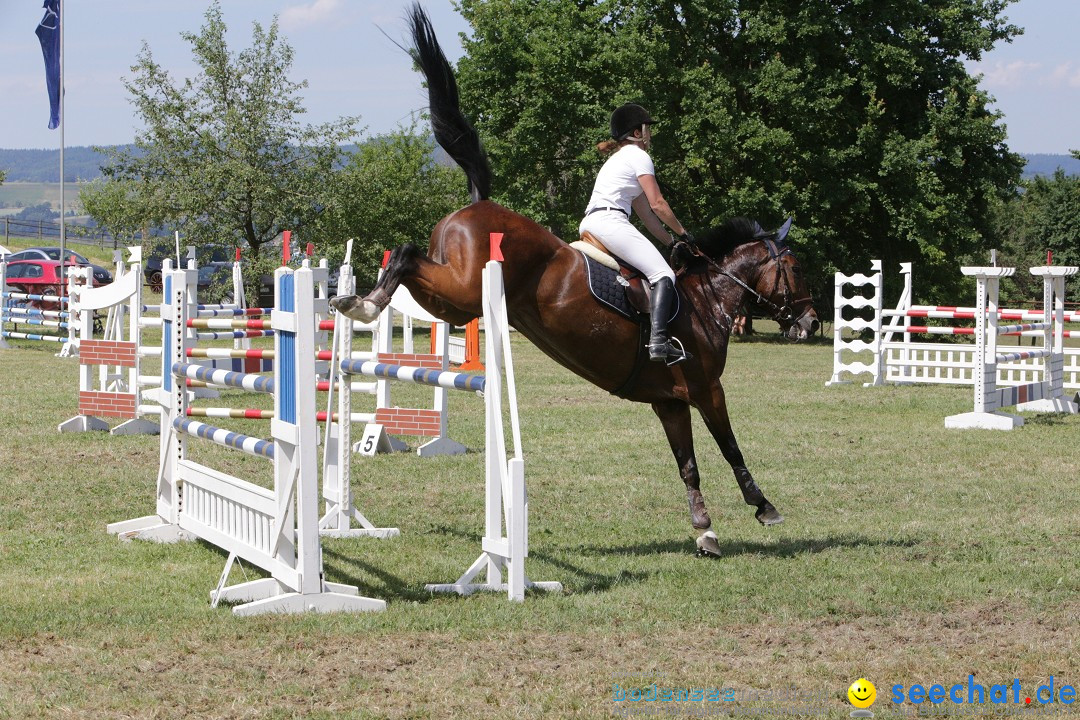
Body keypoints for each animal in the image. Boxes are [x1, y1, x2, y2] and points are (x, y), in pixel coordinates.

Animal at [328, 5, 816, 557]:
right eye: (797, 268)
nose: (810, 321)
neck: (706, 298)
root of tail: (478, 203)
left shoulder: (670, 402)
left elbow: (688, 465)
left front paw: (705, 531)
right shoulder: (707, 390)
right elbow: (732, 448)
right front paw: (764, 507)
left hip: (453, 303)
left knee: (410, 264)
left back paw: (357, 302)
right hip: (464, 290)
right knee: (407, 256)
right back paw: (363, 305)